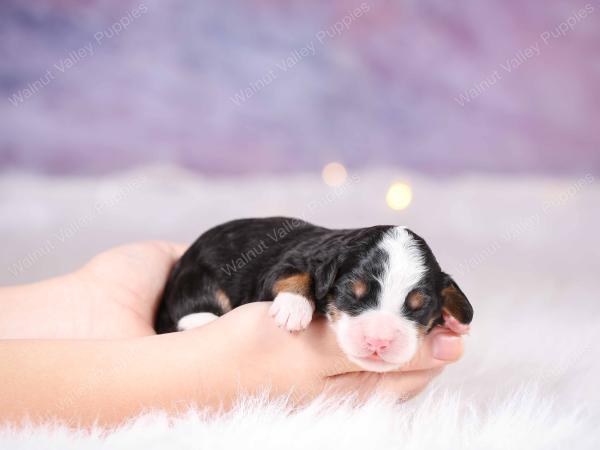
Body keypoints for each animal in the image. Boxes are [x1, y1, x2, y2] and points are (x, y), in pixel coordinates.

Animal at [155, 216, 474, 370]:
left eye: (419, 307)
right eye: (352, 294)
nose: (378, 342)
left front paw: (454, 319)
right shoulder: (284, 263)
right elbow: (295, 275)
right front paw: (293, 307)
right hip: (195, 277)